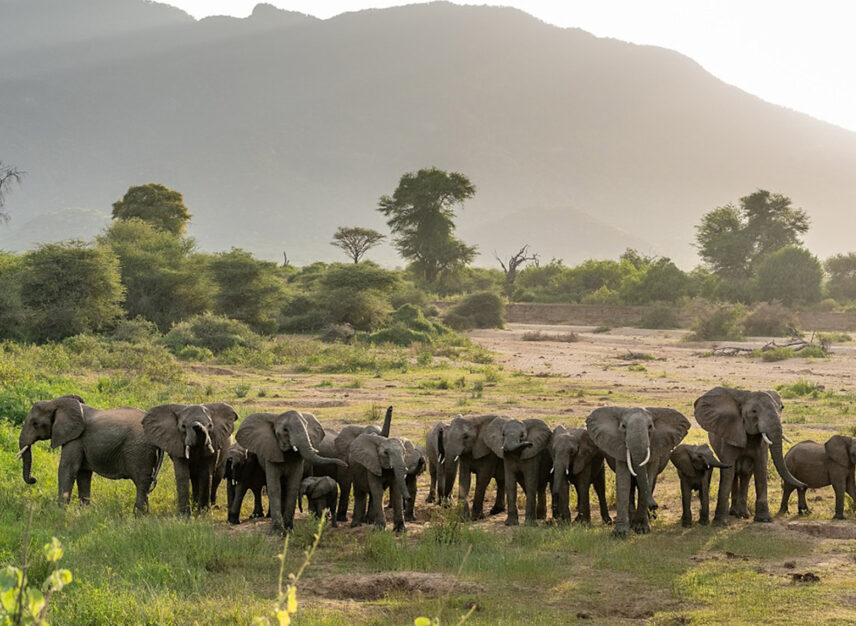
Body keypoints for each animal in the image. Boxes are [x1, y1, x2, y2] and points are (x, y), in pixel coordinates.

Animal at [17, 394, 163, 513]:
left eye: (35, 423)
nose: (34, 479)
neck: (56, 402)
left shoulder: (75, 439)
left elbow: (67, 468)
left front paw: (60, 511)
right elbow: (83, 473)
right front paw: (84, 512)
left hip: (139, 451)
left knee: (141, 482)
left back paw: (137, 515)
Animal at [587, 406, 690, 537]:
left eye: (650, 426)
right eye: (623, 426)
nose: (655, 505)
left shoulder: (655, 446)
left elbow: (648, 477)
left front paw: (641, 529)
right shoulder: (619, 445)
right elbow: (623, 482)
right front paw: (620, 533)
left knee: (651, 482)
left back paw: (648, 518)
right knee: (631, 486)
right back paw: (632, 521)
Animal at [694, 387, 806, 524]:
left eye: (782, 407)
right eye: (754, 411)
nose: (804, 486)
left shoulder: (761, 445)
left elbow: (761, 469)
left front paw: (764, 519)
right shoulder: (730, 434)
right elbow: (728, 471)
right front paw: (719, 522)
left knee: (746, 474)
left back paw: (743, 514)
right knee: (734, 474)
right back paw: (734, 513)